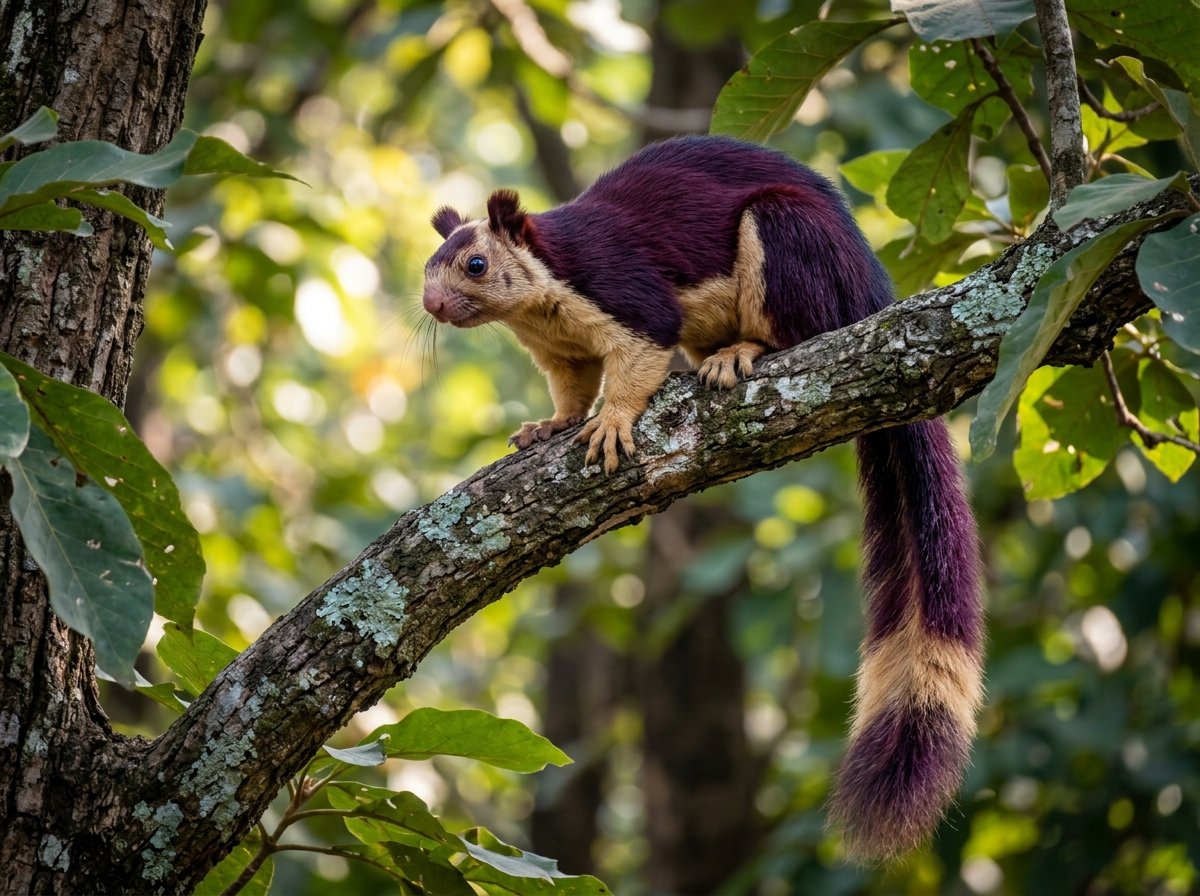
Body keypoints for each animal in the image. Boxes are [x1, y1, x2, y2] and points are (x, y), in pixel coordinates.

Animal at [422, 134, 983, 861]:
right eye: (427, 267)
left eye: (476, 264)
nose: (432, 306)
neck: (541, 301)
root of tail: (869, 288)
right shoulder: (560, 350)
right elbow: (571, 387)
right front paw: (551, 425)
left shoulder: (624, 291)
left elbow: (638, 357)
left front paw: (612, 422)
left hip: (790, 240)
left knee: (800, 328)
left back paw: (741, 351)